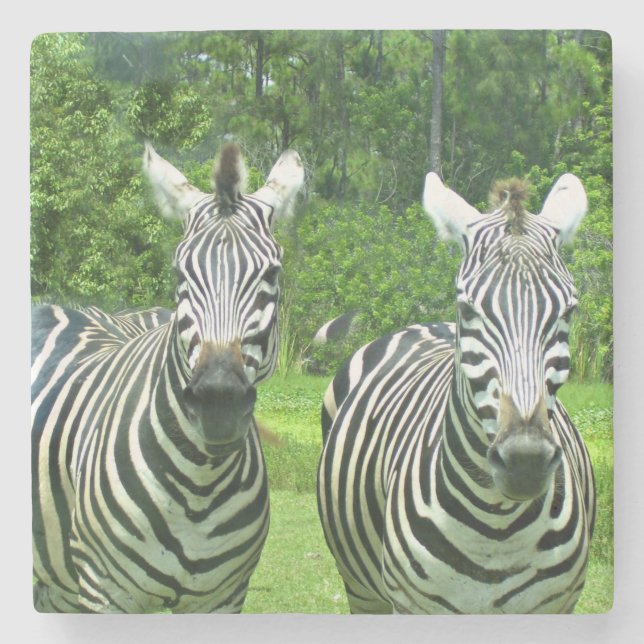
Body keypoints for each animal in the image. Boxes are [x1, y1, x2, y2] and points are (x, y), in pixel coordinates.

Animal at [32, 141, 304, 613]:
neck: (200, 485)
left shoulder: (224, 598)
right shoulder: (104, 592)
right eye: (180, 273)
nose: (218, 403)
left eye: (272, 273)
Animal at [317, 172, 595, 614]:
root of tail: (427, 324)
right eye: (467, 309)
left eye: (568, 312)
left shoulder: (557, 606)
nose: (526, 461)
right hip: (362, 589)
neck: (496, 529)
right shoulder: (411, 605)